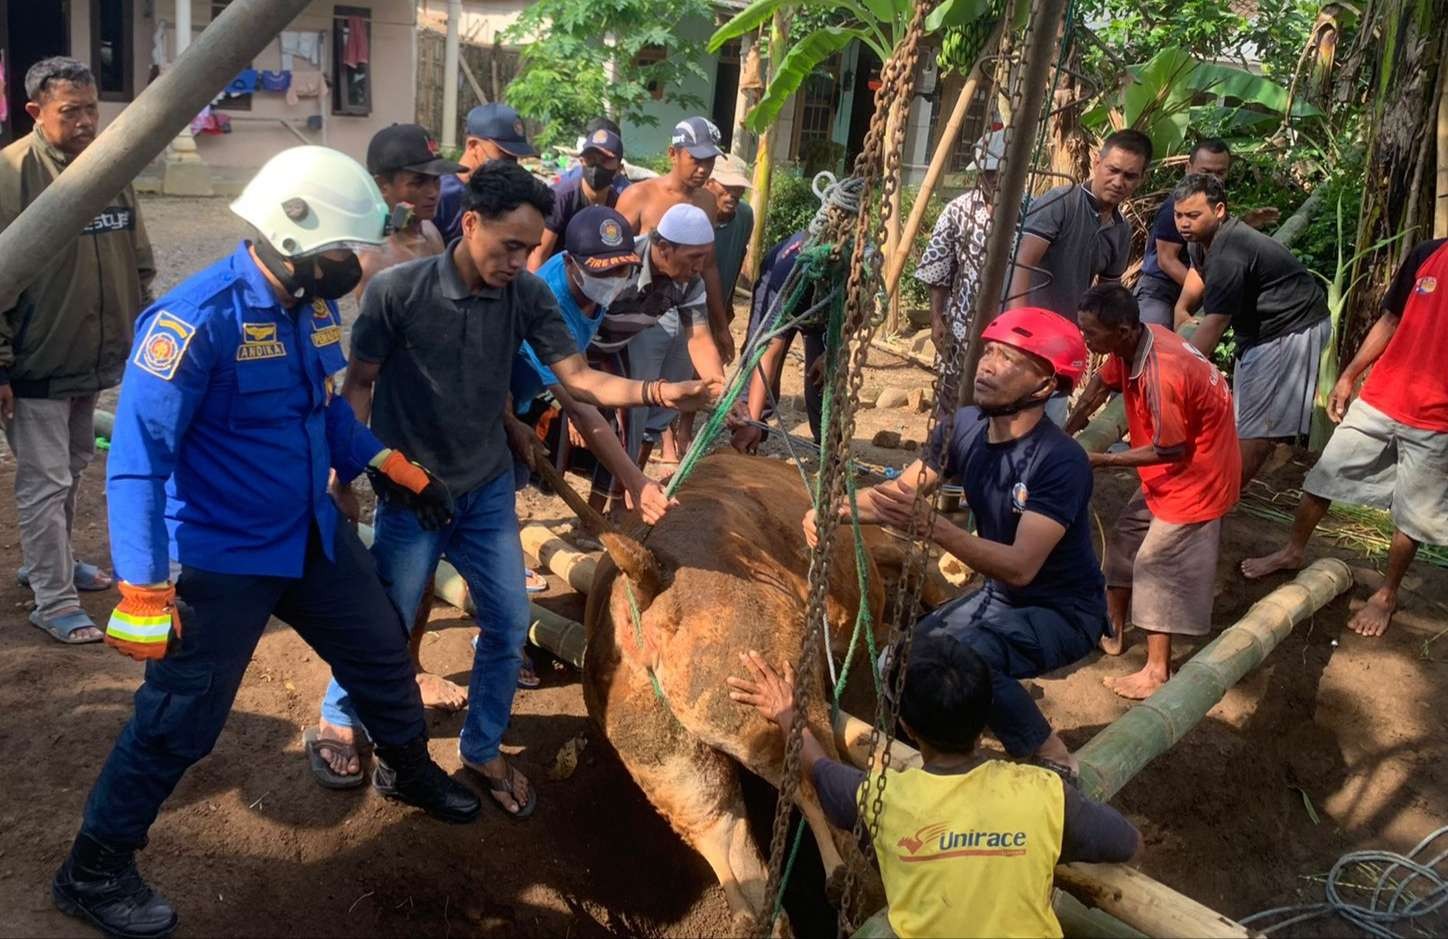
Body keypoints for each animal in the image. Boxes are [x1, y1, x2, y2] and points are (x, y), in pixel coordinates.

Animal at [582, 452, 909, 933]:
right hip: (759, 674)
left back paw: (759, 919)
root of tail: (643, 590)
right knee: (808, 780)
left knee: (724, 837)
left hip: (662, 752)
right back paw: (857, 888)